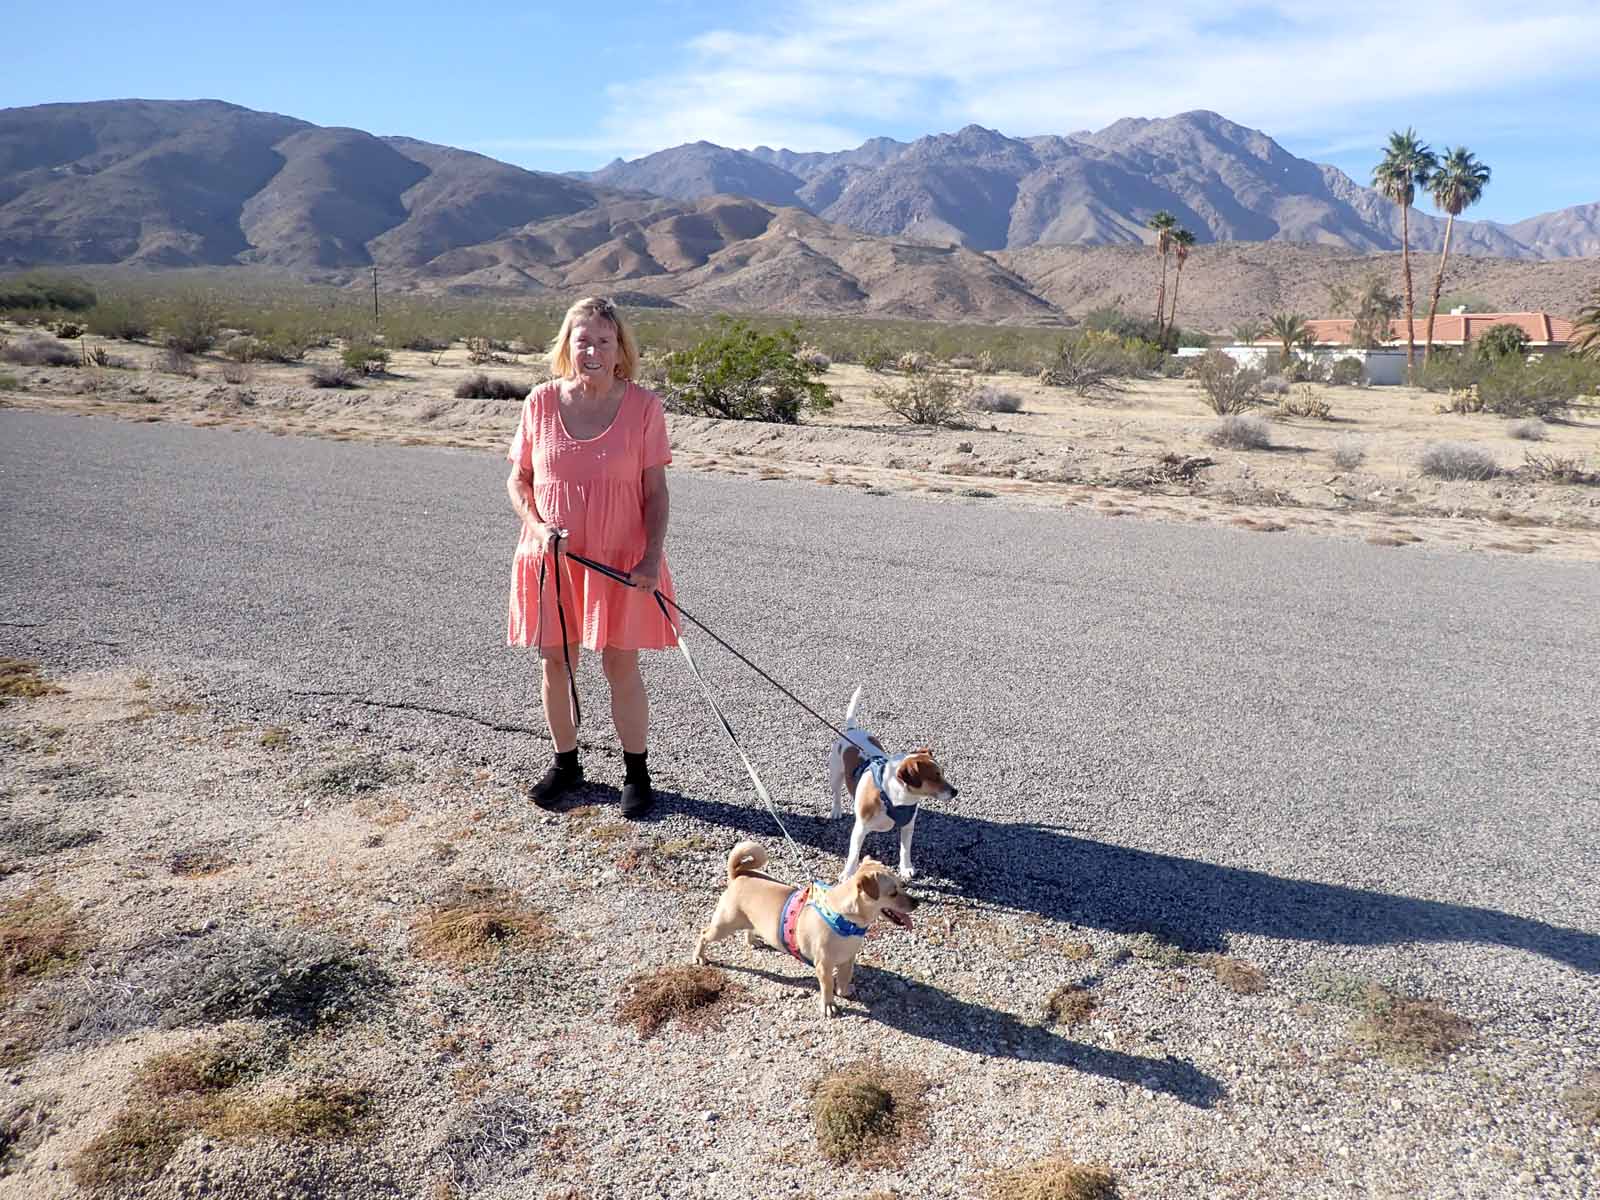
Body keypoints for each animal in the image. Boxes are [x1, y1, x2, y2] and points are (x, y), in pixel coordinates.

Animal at [694, 840, 917, 1017]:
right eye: (893, 893)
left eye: (903, 885)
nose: (917, 902)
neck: (845, 919)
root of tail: (738, 874)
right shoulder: (824, 966)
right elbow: (827, 986)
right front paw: (829, 1005)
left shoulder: (848, 959)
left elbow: (844, 978)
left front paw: (844, 991)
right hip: (723, 926)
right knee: (703, 934)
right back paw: (700, 957)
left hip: (747, 921)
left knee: (748, 929)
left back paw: (753, 941)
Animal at [827, 686, 957, 882]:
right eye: (934, 777)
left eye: (942, 773)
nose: (955, 791)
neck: (894, 798)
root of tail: (852, 729)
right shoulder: (860, 829)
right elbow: (853, 855)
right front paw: (847, 874)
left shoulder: (908, 826)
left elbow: (905, 850)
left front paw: (906, 868)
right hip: (836, 775)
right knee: (836, 793)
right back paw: (836, 810)